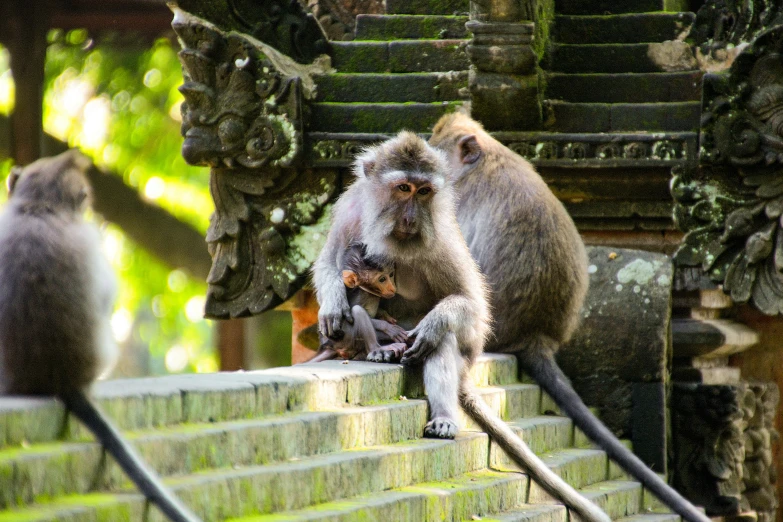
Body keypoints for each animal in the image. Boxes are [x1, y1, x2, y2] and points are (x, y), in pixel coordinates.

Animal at [312, 131, 612, 520]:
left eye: (424, 192)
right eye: (404, 188)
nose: (411, 217)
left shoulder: (440, 236)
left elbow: (473, 305)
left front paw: (435, 322)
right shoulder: (351, 209)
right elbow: (328, 262)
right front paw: (333, 303)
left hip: (464, 352)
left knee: (444, 341)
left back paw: (441, 411)